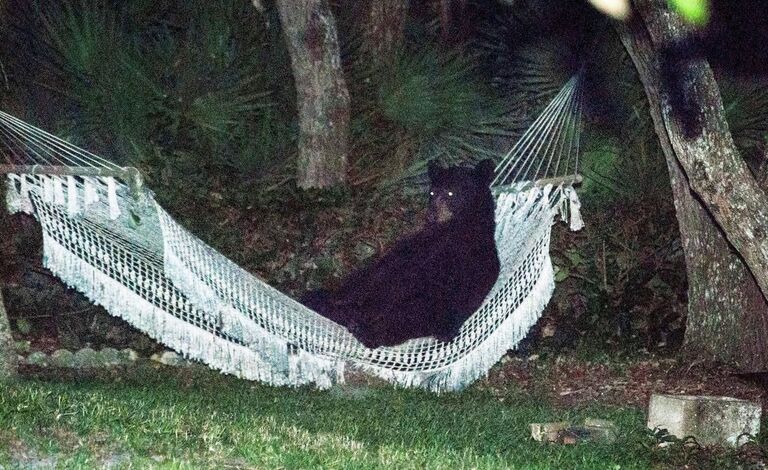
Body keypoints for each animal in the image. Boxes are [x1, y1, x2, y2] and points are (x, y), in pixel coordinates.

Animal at [304, 160, 500, 346]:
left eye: (451, 193)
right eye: (432, 193)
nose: (431, 215)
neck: (456, 228)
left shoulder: (464, 261)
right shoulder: (413, 249)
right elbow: (382, 273)